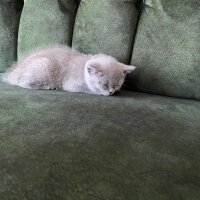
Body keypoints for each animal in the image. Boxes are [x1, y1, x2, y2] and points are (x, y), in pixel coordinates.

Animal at [2, 45, 136, 95]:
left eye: (117, 85)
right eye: (104, 85)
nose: (111, 92)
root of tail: (13, 72)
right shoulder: (72, 83)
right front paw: (101, 93)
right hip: (45, 65)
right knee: (23, 82)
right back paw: (50, 86)